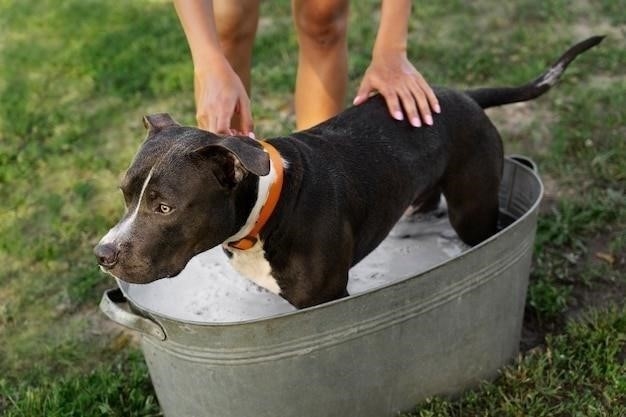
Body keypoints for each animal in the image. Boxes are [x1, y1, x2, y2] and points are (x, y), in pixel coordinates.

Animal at [95, 35, 604, 308]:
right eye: (124, 194)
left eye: (164, 207)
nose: (102, 254)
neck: (268, 208)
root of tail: (463, 96)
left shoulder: (325, 299)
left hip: (473, 208)